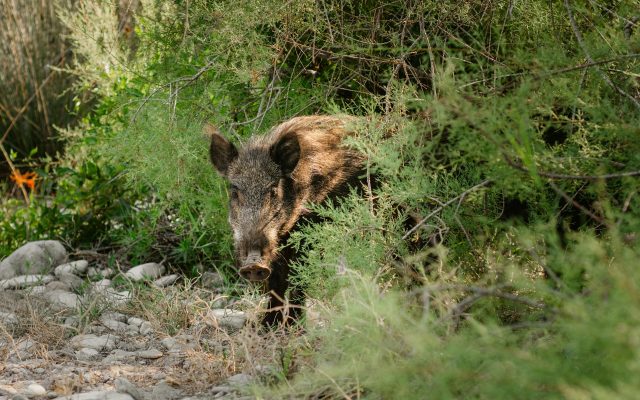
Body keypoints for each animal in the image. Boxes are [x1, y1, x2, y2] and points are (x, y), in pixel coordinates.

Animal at [207, 115, 365, 325]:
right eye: (234, 192)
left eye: (273, 190)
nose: (253, 264)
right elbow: (277, 280)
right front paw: (268, 325)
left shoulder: (307, 233)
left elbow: (298, 276)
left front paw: (294, 325)